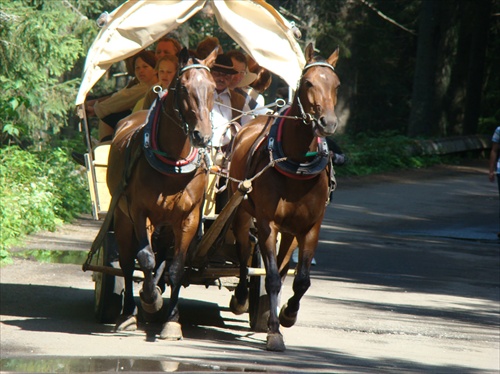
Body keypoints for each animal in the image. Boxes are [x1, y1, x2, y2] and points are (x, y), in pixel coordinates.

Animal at [106, 48, 216, 340]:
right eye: (184, 87)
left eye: (213, 87)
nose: (202, 136)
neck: (174, 164)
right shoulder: (139, 212)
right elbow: (145, 259)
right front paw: (149, 300)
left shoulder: (188, 219)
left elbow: (176, 268)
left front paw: (172, 321)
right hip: (123, 218)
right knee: (127, 262)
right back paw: (128, 313)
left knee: (162, 261)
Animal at [229, 43, 340, 350]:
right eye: (308, 82)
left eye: (337, 84)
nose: (328, 123)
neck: (297, 162)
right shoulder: (267, 224)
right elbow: (272, 278)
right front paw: (275, 332)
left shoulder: (311, 227)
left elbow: (300, 280)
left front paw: (287, 315)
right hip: (242, 213)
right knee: (243, 256)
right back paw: (241, 297)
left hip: (291, 231)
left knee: (279, 264)